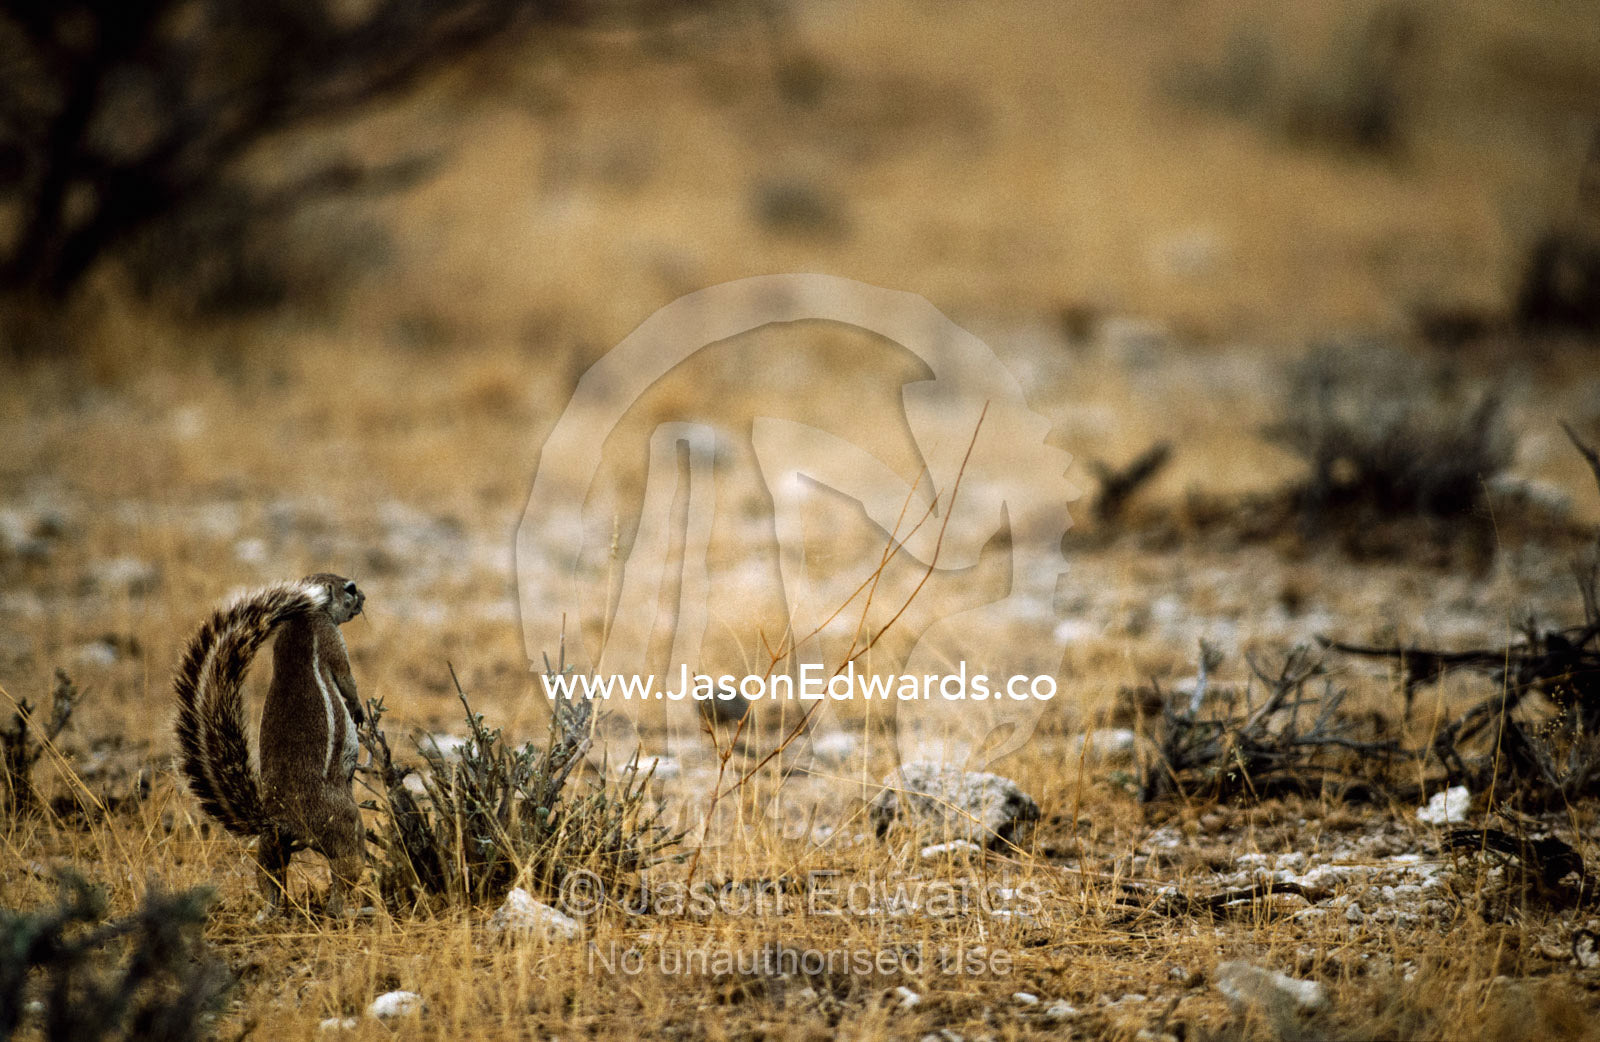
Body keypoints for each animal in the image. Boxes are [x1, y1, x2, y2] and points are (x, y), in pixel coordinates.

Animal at [174, 573, 368, 917]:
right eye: (350, 588)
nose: (365, 599)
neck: (302, 618)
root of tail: (280, 818)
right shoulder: (331, 638)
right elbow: (346, 678)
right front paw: (357, 710)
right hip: (346, 825)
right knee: (345, 872)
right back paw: (348, 911)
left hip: (270, 844)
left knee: (269, 875)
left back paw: (268, 913)